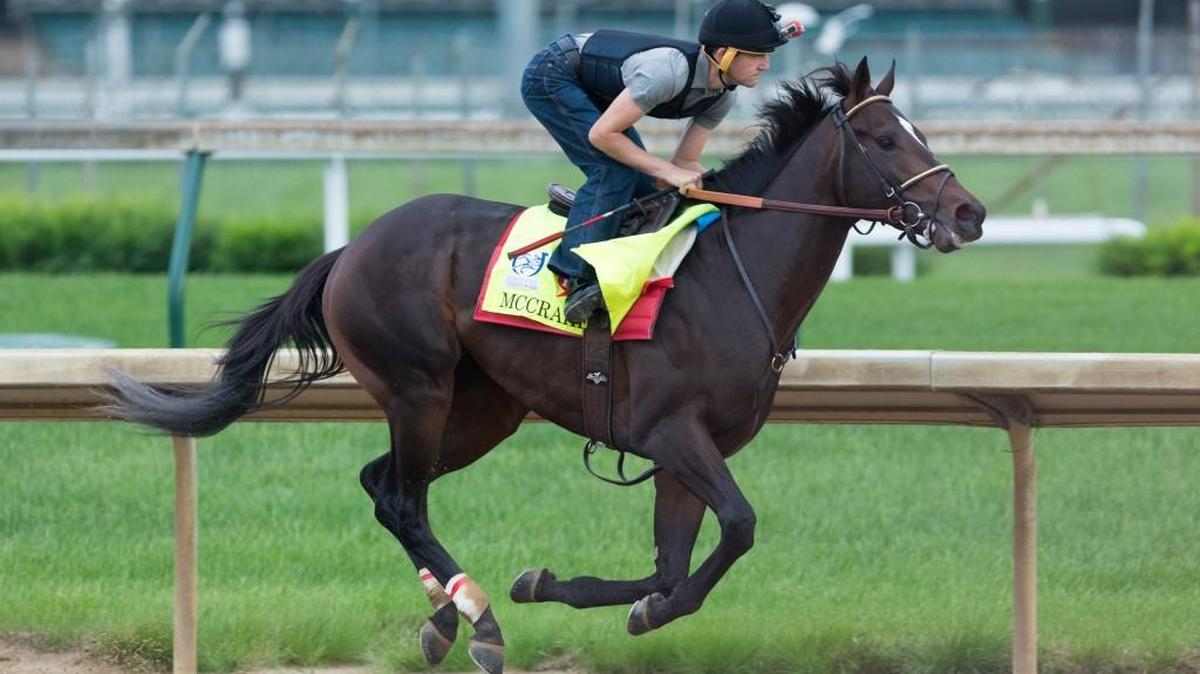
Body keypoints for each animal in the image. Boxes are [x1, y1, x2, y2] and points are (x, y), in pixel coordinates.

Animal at [105, 58, 985, 674]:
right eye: (885, 139)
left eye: (921, 132)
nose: (969, 212)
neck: (731, 278)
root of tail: (350, 249)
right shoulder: (674, 434)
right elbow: (735, 530)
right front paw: (581, 601)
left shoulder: (684, 454)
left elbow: (669, 568)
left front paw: (577, 592)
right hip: (418, 387)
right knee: (404, 501)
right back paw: (480, 619)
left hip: (482, 409)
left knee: (382, 485)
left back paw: (444, 615)